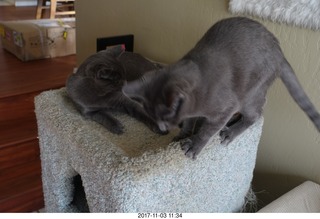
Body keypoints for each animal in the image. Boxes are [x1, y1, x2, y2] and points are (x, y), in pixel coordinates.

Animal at [122, 16, 320, 159]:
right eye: (153, 117)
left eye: (166, 117)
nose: (163, 129)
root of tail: (280, 52)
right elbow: (189, 122)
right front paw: (183, 135)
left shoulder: (225, 108)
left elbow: (207, 131)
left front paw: (193, 146)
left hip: (250, 93)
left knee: (256, 114)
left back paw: (230, 132)